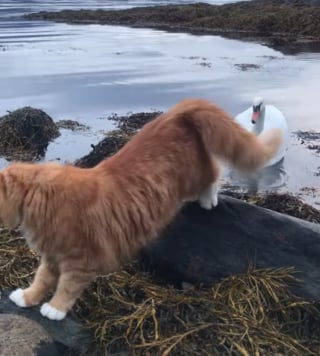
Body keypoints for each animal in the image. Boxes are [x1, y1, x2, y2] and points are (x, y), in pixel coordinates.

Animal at [0, 98, 282, 322]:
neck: (40, 197)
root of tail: (176, 113)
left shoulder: (80, 259)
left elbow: (66, 287)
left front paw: (55, 308)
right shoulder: (51, 255)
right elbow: (41, 279)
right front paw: (27, 297)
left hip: (192, 175)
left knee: (213, 173)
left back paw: (208, 198)